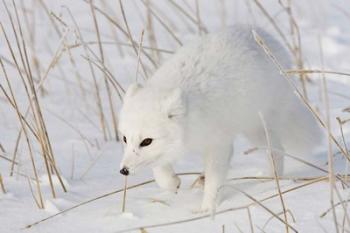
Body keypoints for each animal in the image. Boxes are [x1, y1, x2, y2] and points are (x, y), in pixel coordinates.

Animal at [119, 25, 322, 211]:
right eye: (125, 139)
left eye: (146, 141)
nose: (123, 170)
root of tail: (260, 32)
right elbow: (159, 170)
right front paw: (172, 183)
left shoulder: (218, 144)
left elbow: (214, 181)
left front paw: (208, 210)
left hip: (257, 127)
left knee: (277, 150)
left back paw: (271, 179)